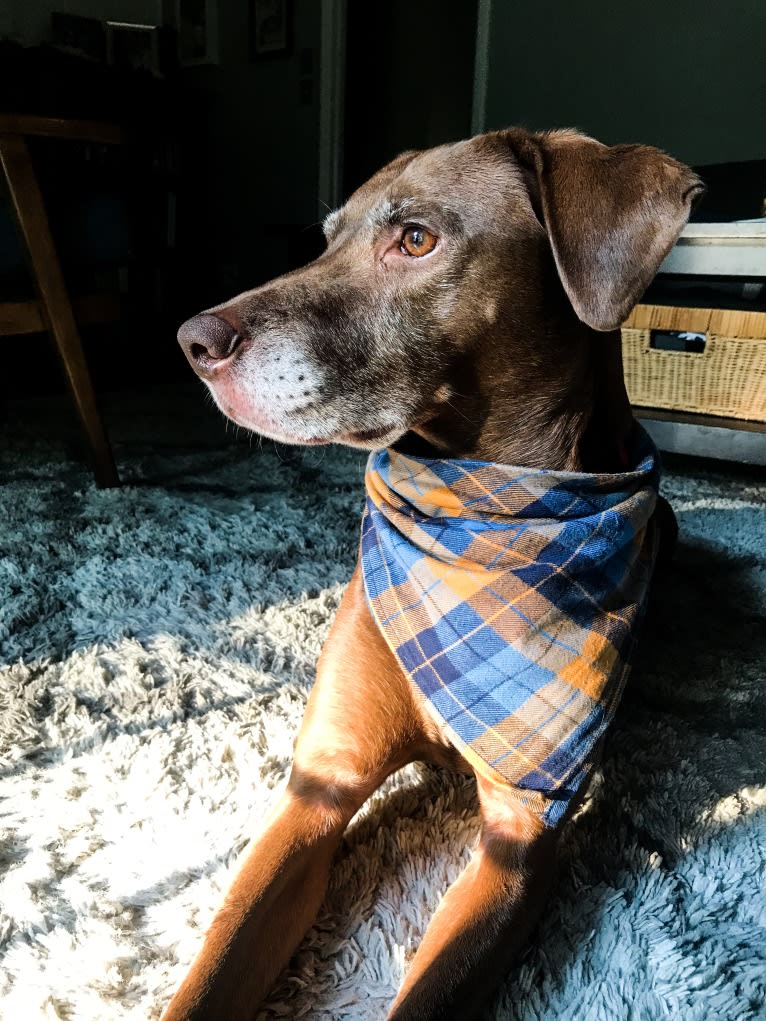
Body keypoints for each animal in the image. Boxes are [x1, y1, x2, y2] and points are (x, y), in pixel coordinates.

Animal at [170, 129, 706, 1021]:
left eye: (415, 238)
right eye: (327, 239)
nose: (192, 342)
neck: (481, 511)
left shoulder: (520, 838)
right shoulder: (319, 784)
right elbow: (212, 973)